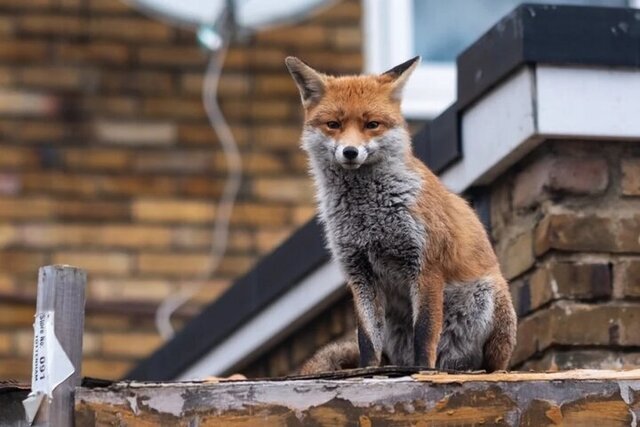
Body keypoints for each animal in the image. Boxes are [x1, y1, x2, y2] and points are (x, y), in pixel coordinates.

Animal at [285, 56, 517, 374]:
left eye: (372, 125)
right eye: (334, 125)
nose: (350, 152)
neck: (369, 216)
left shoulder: (426, 265)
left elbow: (425, 333)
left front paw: (423, 371)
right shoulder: (359, 273)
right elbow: (367, 340)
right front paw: (368, 372)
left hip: (490, 296)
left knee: (491, 362)